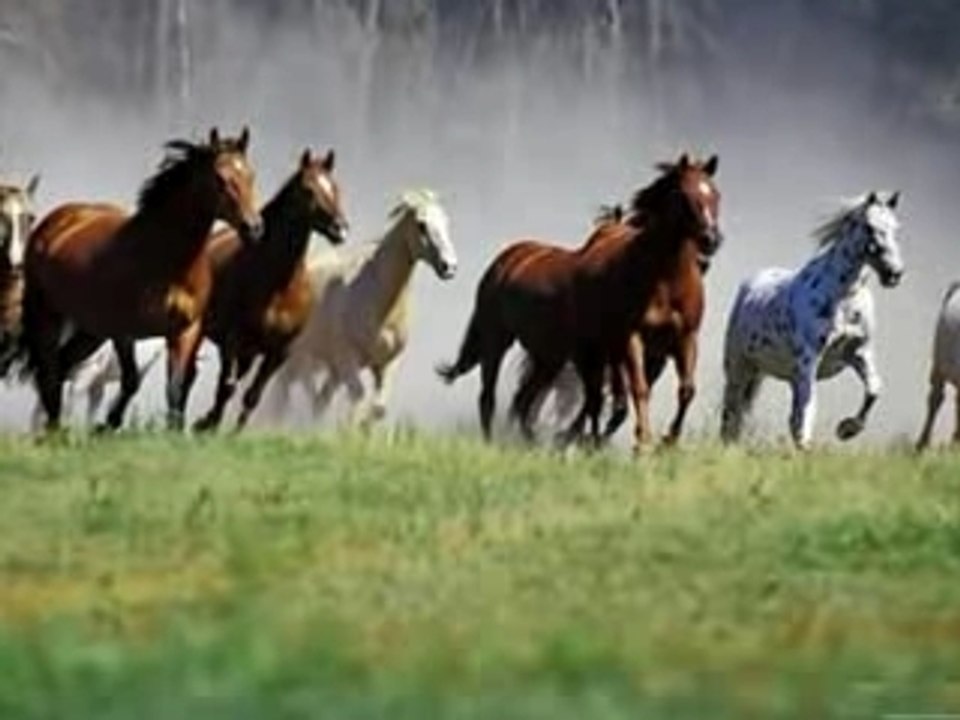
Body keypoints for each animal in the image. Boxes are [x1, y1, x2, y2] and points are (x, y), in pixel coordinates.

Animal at [20, 127, 262, 432]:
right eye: (220, 178)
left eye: (250, 175)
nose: (253, 228)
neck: (166, 262)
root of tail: (58, 219)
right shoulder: (123, 332)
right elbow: (131, 381)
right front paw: (106, 426)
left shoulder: (185, 331)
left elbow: (176, 387)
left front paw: (174, 431)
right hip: (48, 315)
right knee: (50, 372)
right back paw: (54, 430)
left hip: (92, 330)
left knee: (62, 366)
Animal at [192, 148, 349, 432]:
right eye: (308, 190)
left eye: (335, 187)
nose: (340, 229)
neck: (278, 287)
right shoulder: (233, 341)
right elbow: (226, 389)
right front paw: (209, 425)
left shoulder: (279, 352)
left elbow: (252, 396)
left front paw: (231, 432)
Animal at [269, 189, 456, 425]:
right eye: (421, 224)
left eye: (446, 221)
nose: (449, 266)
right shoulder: (348, 359)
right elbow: (358, 397)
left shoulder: (387, 363)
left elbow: (378, 408)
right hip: (297, 358)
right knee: (287, 394)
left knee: (314, 399)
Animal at [437, 153, 721, 452]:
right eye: (683, 195)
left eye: (715, 194)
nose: (711, 240)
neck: (663, 280)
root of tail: (505, 260)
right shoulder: (627, 341)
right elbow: (634, 392)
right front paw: (640, 443)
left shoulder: (683, 339)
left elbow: (685, 390)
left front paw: (668, 441)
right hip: (497, 340)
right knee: (489, 397)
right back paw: (495, 443)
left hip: (549, 356)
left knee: (526, 401)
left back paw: (535, 443)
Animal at [720, 191, 904, 450]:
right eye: (869, 227)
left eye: (896, 228)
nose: (894, 274)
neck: (843, 299)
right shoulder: (809, 360)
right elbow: (809, 406)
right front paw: (810, 443)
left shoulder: (859, 352)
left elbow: (874, 389)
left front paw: (847, 429)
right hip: (740, 365)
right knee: (732, 410)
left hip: (785, 375)